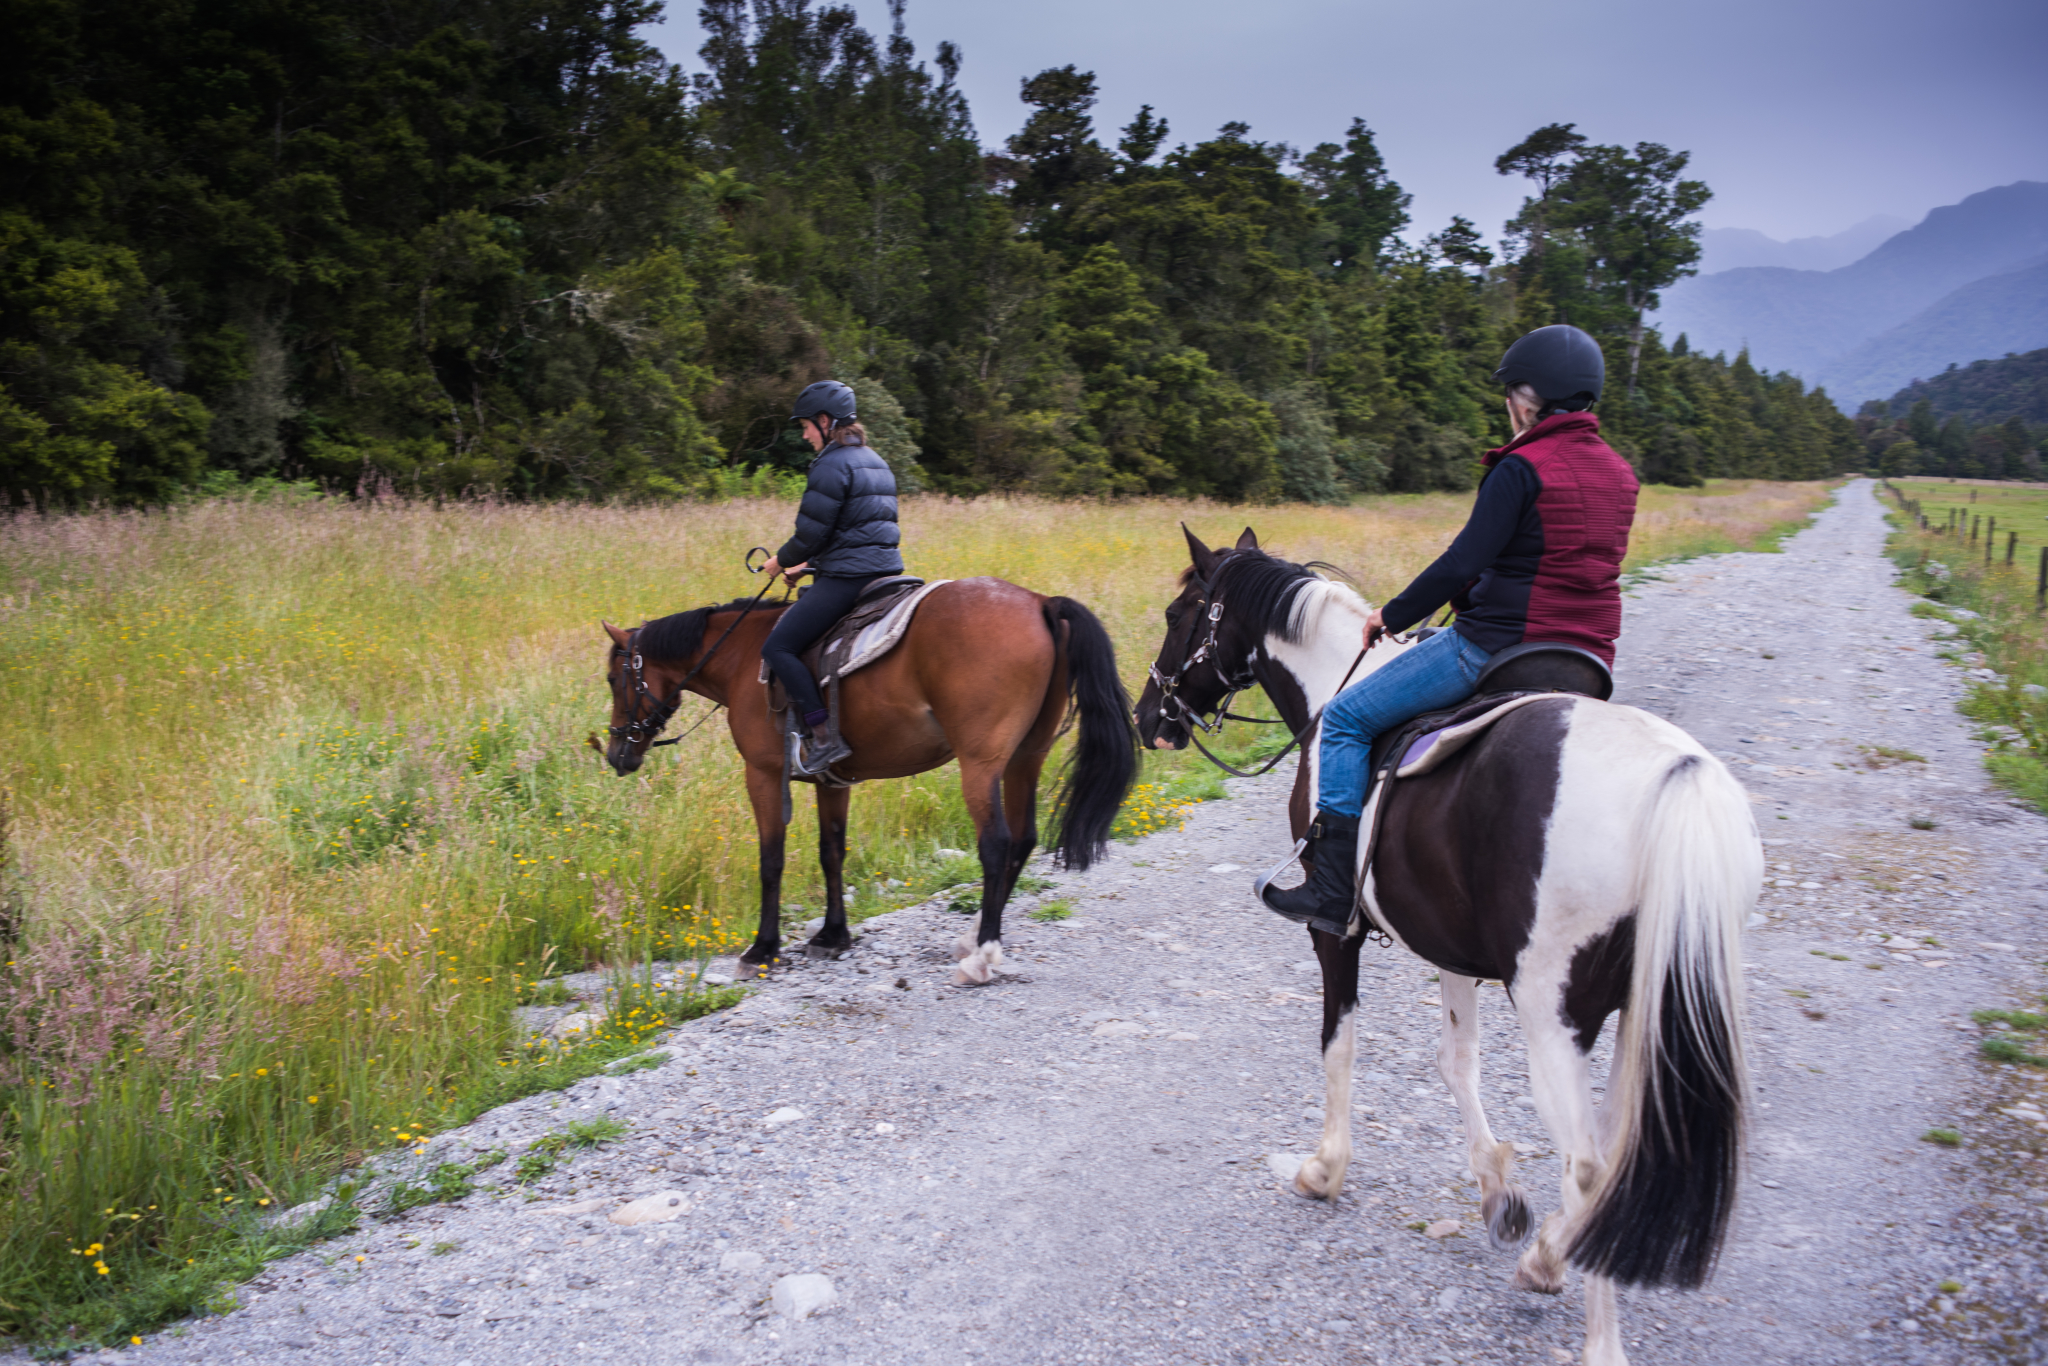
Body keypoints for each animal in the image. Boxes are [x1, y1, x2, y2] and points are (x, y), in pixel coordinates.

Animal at [598, 581, 1138, 978]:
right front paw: (833, 935)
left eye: (613, 679)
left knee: (997, 843)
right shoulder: (832, 781)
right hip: (1026, 756)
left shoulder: (763, 774)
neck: (743, 656)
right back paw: (976, 938)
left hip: (981, 763)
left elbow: (771, 860)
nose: (617, 753)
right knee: (1024, 839)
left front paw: (763, 948)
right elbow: (831, 852)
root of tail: (1040, 601)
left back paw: (983, 952)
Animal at [1138, 532, 1761, 1366]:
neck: (1338, 687)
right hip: (1645, 1012)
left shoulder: (1334, 932)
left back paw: (1591, 1326)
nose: (1149, 716)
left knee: (1589, 1167)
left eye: (1179, 614)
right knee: (1618, 1157)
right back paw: (1547, 1255)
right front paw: (1498, 1188)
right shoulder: (1450, 947)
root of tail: (1677, 779)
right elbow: (1455, 1063)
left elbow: (1339, 1046)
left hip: (1553, 1016)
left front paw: (1324, 1170)